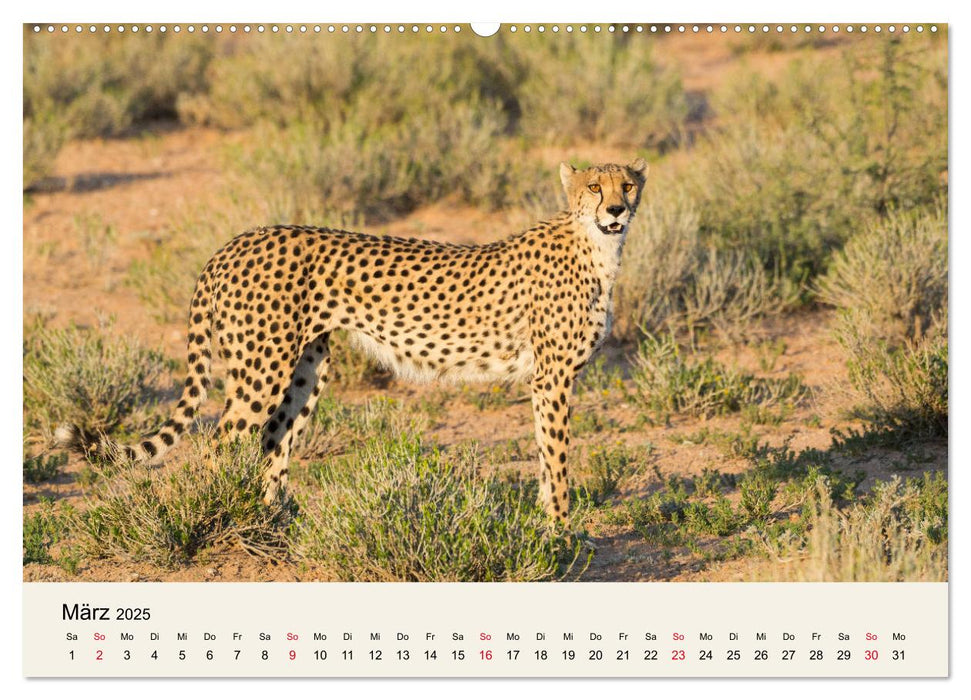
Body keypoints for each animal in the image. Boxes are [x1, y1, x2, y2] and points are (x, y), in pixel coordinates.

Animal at [62, 159, 652, 520]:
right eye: (594, 187)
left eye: (628, 185)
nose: (616, 210)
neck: (597, 248)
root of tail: (237, 240)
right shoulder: (552, 380)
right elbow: (558, 461)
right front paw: (560, 531)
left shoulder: (543, 383)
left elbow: (545, 460)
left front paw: (545, 526)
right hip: (261, 370)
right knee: (218, 446)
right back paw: (217, 519)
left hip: (306, 369)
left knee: (271, 444)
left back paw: (272, 525)